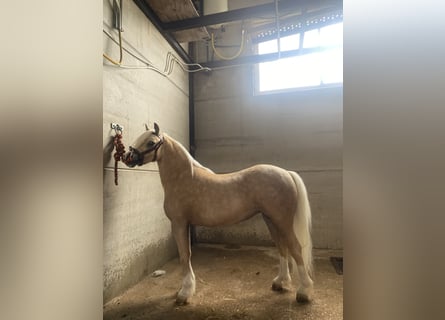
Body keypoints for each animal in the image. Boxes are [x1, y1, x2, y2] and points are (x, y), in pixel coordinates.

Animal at [123, 123, 314, 304]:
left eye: (151, 142)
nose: (127, 157)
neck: (183, 178)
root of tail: (286, 173)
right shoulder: (184, 224)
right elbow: (187, 254)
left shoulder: (179, 223)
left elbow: (185, 256)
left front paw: (185, 293)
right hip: (271, 220)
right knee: (283, 248)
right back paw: (280, 282)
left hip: (282, 221)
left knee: (295, 248)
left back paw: (304, 291)